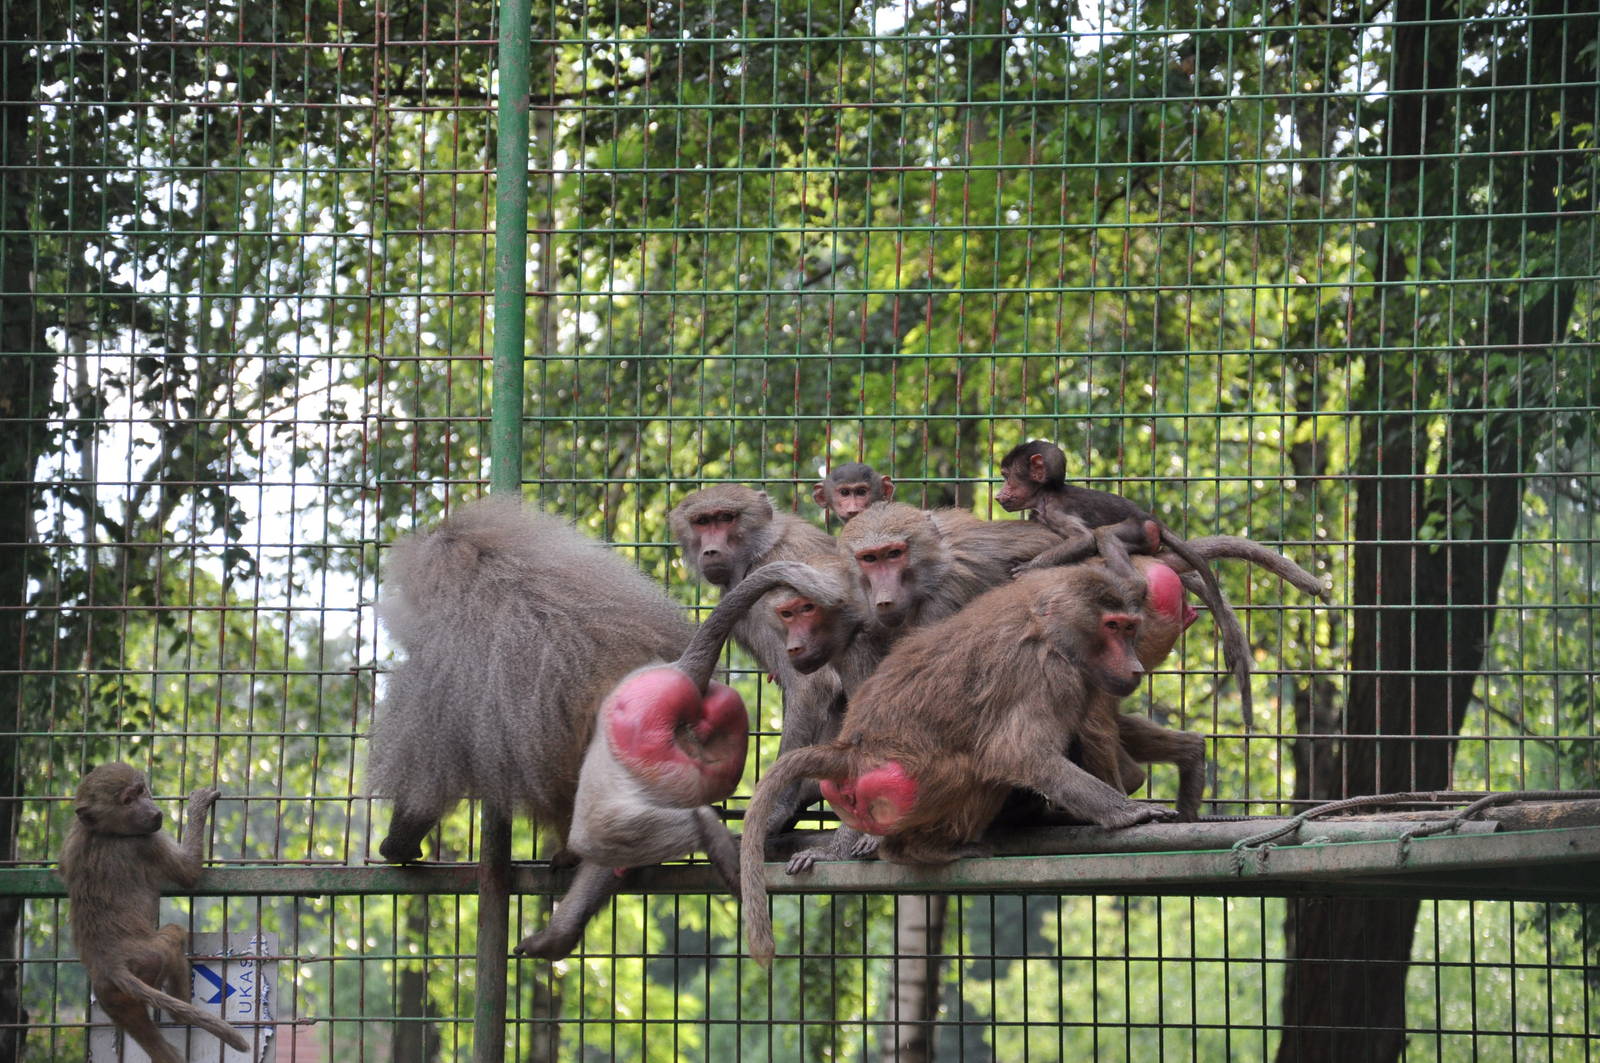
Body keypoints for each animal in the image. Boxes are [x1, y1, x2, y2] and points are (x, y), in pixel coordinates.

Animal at [58, 763, 250, 1063]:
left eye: (141, 791)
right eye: (128, 800)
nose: (154, 811)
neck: (101, 832)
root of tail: (109, 964)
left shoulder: (70, 844)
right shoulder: (147, 841)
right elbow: (188, 874)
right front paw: (198, 805)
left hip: (110, 995)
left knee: (141, 1029)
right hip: (150, 959)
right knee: (173, 938)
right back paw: (181, 1010)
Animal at [740, 563, 1176, 964]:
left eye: (1130, 628)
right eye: (1113, 627)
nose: (1135, 668)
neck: (1050, 628)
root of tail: (851, 751)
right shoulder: (1046, 671)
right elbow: (1016, 753)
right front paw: (1128, 812)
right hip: (910, 782)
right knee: (974, 765)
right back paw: (919, 850)